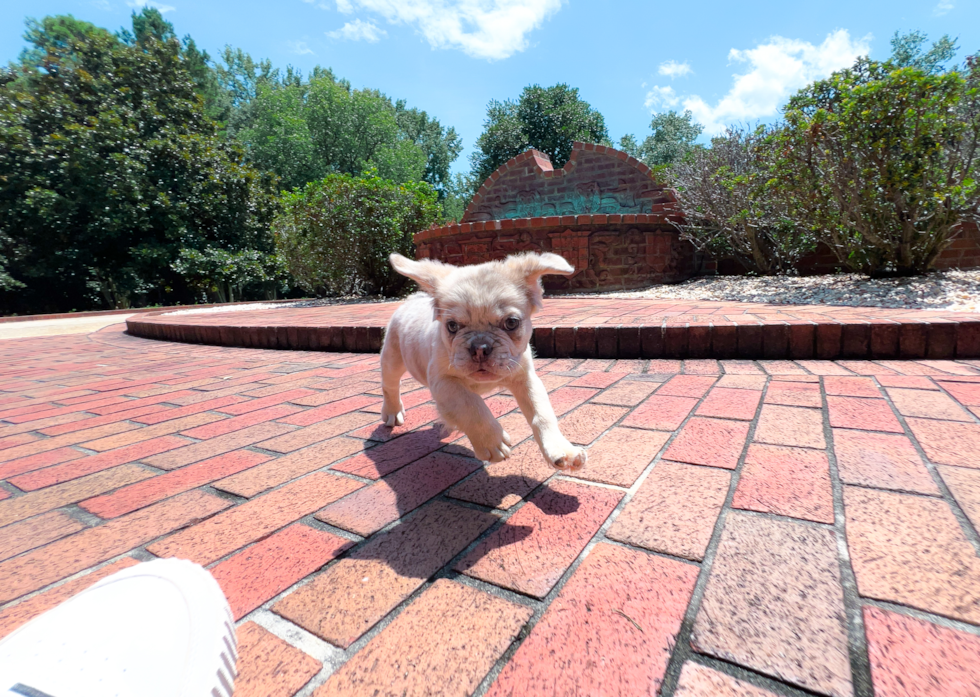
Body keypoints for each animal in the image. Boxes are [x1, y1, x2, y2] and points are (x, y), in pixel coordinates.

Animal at [380, 250, 588, 468]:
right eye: (452, 326)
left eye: (511, 323)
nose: (480, 348)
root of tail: (413, 298)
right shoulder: (444, 382)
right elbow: (471, 406)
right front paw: (492, 442)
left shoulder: (526, 379)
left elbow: (542, 413)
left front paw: (561, 450)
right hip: (392, 358)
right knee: (390, 385)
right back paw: (393, 412)